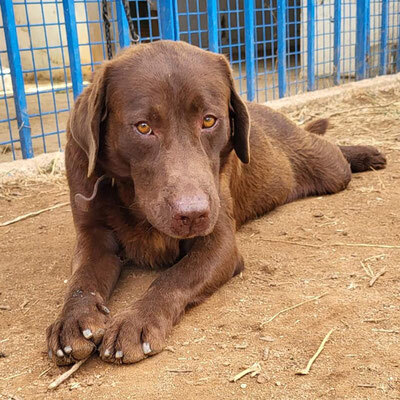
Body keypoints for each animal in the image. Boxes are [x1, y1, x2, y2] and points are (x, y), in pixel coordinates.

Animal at [46, 40, 384, 366]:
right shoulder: (93, 234)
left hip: (329, 170)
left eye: (209, 120)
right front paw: (73, 320)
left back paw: (365, 154)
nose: (193, 214)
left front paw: (136, 321)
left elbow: (174, 277)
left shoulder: (219, 241)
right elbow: (81, 279)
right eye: (143, 126)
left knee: (332, 150)